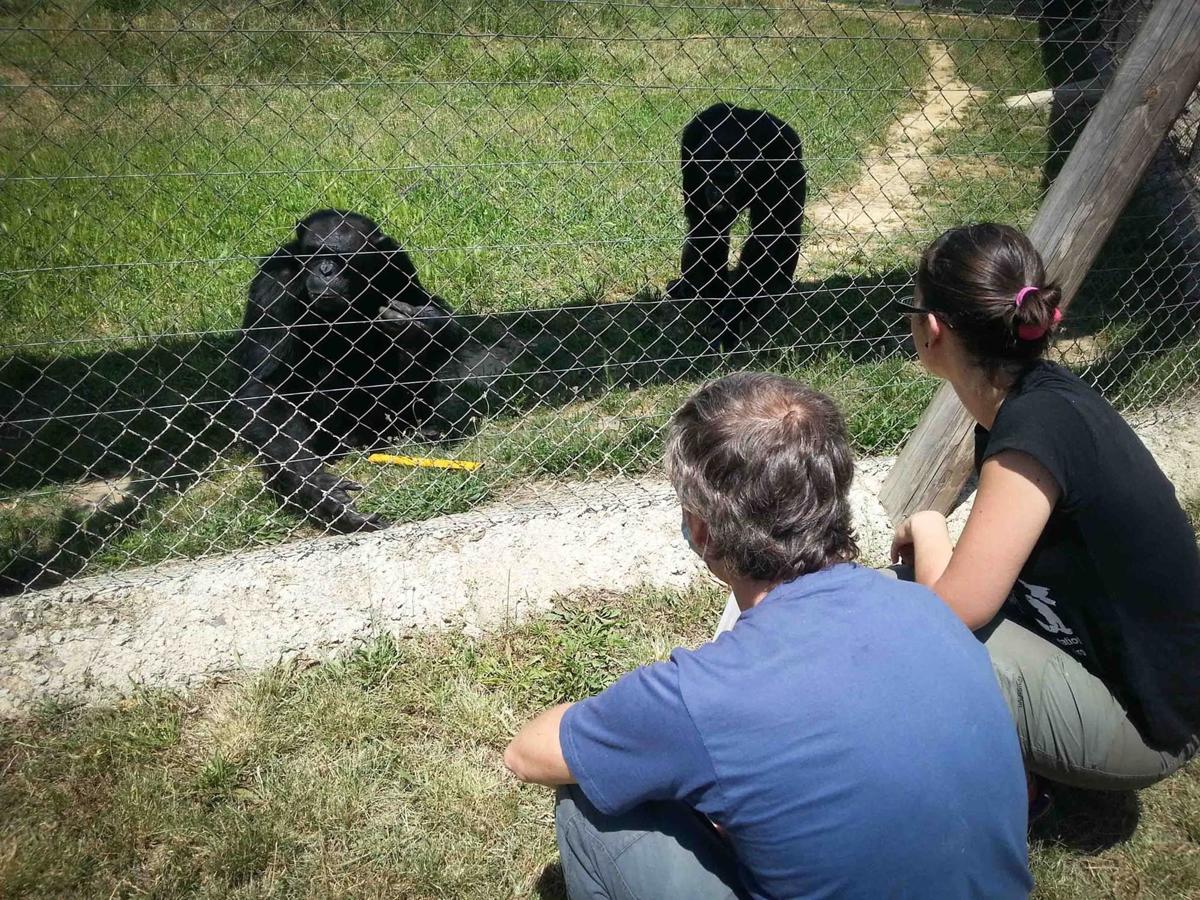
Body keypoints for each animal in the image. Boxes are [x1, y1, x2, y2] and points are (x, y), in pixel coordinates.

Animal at [231, 210, 475, 535]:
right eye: (315, 253)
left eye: (341, 257)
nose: (325, 270)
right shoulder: (273, 282)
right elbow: (264, 383)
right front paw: (319, 489)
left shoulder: (397, 261)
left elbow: (438, 314)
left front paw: (420, 324)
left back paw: (426, 425)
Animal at [667, 103, 806, 348]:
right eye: (711, 175)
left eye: (728, 179)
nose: (716, 191)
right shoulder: (692, 155)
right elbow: (709, 229)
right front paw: (719, 305)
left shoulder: (782, 158)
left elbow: (769, 234)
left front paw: (732, 316)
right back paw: (689, 288)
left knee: (789, 228)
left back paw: (778, 291)